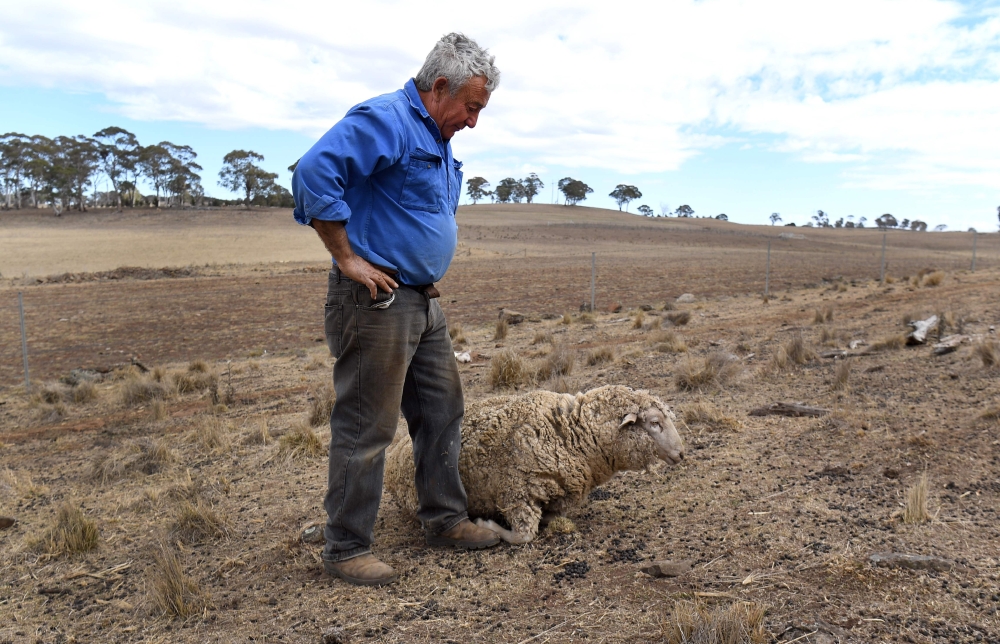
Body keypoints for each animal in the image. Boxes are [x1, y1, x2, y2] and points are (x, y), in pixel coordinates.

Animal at [384, 385, 684, 544]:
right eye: (655, 423)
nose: (681, 453)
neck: (571, 432)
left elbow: (553, 518)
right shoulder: (516, 493)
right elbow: (523, 536)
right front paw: (486, 524)